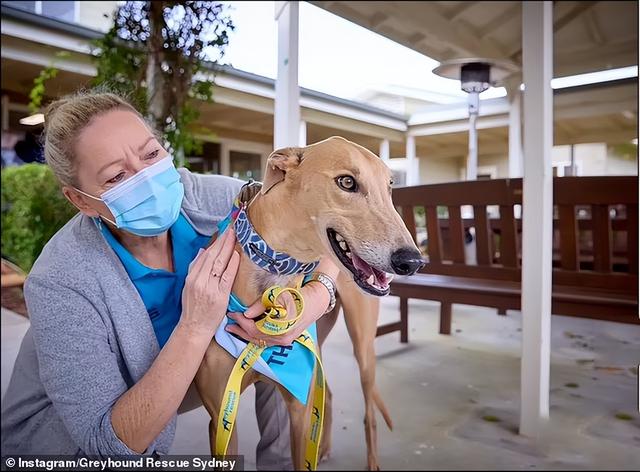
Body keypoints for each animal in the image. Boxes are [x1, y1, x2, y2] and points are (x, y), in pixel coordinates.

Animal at [195, 136, 424, 468]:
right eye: (347, 182)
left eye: (390, 186)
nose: (413, 261)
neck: (276, 268)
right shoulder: (221, 415)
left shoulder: (298, 409)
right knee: (328, 394)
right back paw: (325, 447)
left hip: (363, 347)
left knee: (369, 409)